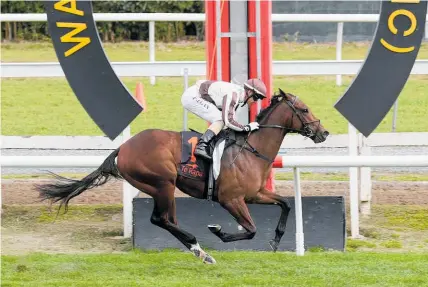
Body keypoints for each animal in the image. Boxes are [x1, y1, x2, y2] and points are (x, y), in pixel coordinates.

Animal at [36, 88, 328, 266]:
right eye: (304, 110)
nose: (323, 133)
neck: (250, 149)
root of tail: (123, 148)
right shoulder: (230, 199)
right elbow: (250, 229)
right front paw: (218, 231)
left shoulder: (254, 194)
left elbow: (285, 204)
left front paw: (276, 240)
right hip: (162, 183)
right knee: (160, 219)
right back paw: (198, 245)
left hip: (164, 188)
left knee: (168, 220)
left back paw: (200, 251)